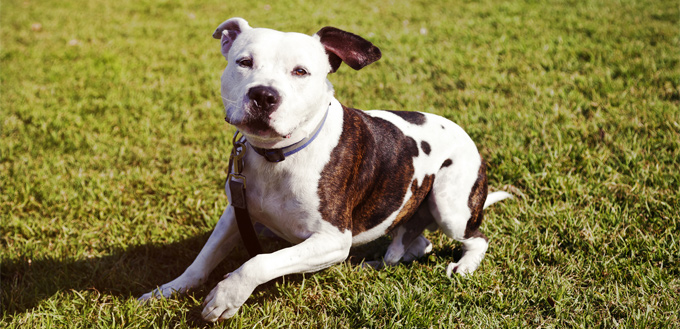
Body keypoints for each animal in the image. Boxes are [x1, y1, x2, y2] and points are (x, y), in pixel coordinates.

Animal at [138, 17, 510, 320]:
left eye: (300, 71)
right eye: (244, 63)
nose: (263, 95)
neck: (279, 156)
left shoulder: (332, 240)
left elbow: (259, 261)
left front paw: (227, 294)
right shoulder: (236, 211)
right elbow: (203, 259)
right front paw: (166, 290)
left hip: (451, 208)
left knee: (477, 239)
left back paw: (464, 266)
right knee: (416, 245)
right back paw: (378, 261)